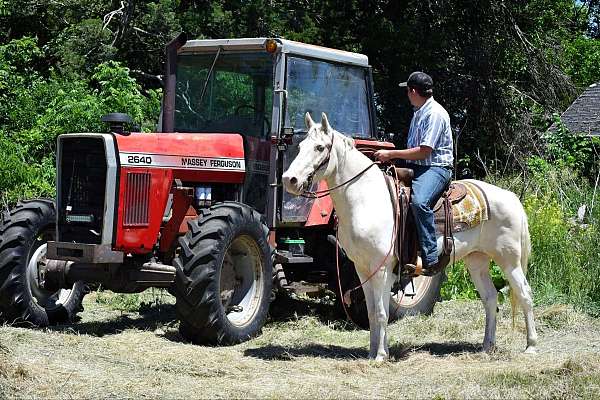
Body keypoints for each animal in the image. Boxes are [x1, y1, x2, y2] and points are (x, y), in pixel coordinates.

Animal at [282, 111, 540, 360]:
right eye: (301, 145)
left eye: (320, 147)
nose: (289, 180)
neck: (365, 198)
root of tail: (510, 197)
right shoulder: (362, 268)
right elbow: (372, 311)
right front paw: (373, 352)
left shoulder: (382, 268)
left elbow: (382, 312)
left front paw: (381, 355)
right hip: (477, 260)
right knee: (490, 298)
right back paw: (487, 346)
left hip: (509, 260)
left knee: (525, 294)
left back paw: (531, 346)